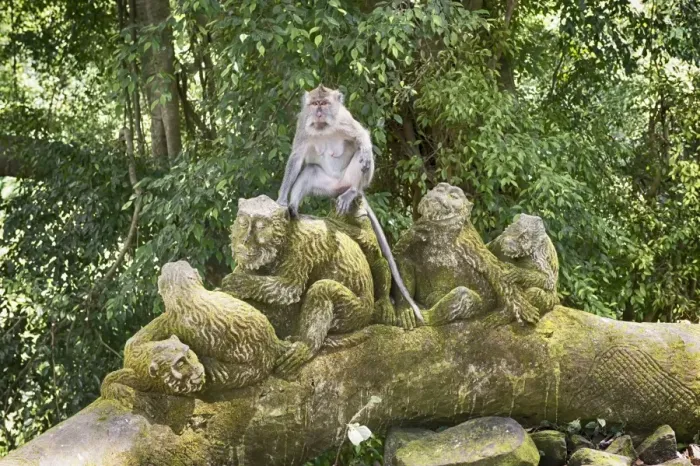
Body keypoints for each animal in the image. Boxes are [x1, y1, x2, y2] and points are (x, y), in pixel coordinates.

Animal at [276, 84, 424, 325]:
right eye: (314, 104)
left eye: (324, 103)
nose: (319, 112)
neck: (324, 128)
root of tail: (340, 186)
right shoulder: (303, 122)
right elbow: (296, 159)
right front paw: (281, 199)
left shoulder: (344, 119)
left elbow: (361, 136)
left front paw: (363, 146)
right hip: (326, 185)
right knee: (310, 170)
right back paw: (295, 208)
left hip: (351, 180)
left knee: (362, 159)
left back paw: (353, 190)